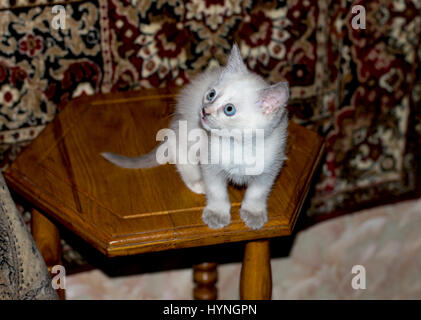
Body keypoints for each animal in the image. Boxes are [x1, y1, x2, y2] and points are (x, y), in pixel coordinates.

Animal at [101, 45, 288, 230]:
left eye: (229, 109)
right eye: (211, 94)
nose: (205, 110)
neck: (238, 143)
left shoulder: (270, 168)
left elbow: (257, 193)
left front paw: (253, 214)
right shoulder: (210, 163)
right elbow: (217, 192)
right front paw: (216, 214)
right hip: (188, 134)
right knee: (179, 155)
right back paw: (198, 182)